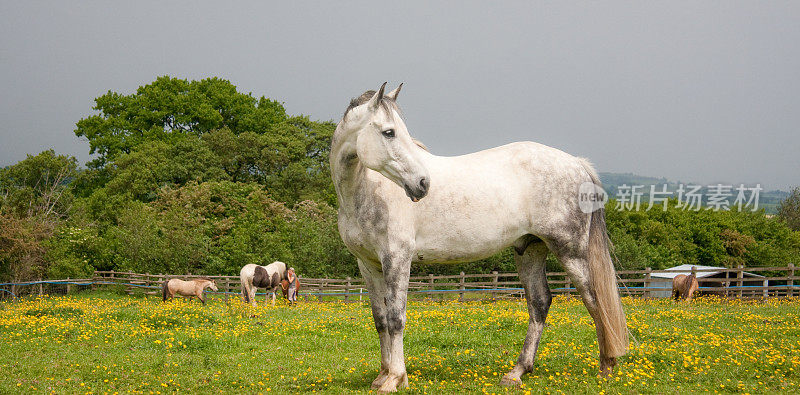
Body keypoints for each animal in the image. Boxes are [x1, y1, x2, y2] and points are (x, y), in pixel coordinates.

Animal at [328, 83, 628, 392]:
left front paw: (395, 379)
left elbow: (396, 318)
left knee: (594, 300)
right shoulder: (368, 265)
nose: (423, 184)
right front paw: (382, 376)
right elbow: (380, 320)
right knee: (540, 302)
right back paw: (516, 373)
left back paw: (606, 366)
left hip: (571, 250)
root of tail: (577, 164)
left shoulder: (396, 258)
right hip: (530, 249)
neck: (367, 190)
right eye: (389, 132)